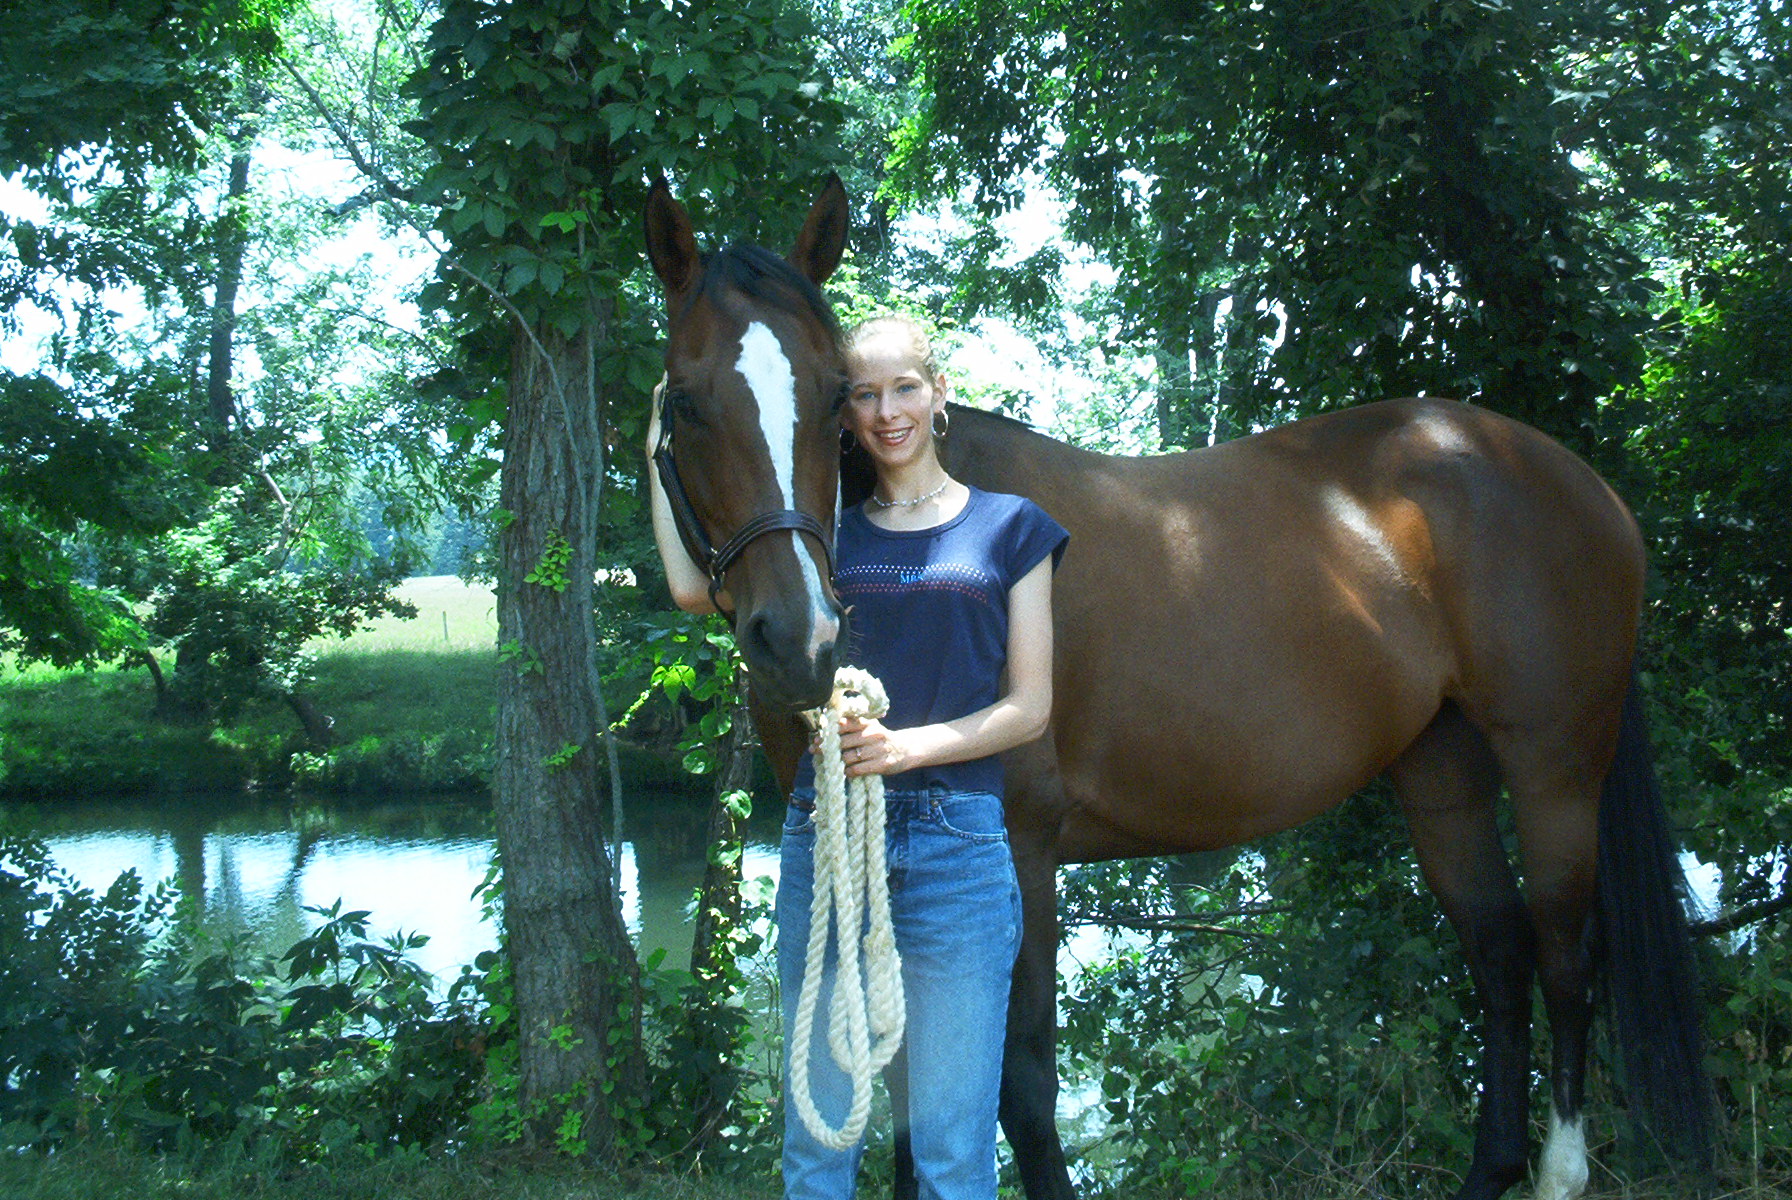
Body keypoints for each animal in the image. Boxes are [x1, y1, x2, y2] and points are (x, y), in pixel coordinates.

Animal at [642, 175, 1713, 1200]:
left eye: (836, 398)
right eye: (685, 401)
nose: (801, 641)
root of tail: (1577, 480)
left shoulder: (1024, 855)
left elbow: (1017, 1084)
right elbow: (915, 1092)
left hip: (1555, 770)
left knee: (1565, 955)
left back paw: (1560, 1173)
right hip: (1441, 775)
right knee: (1499, 954)